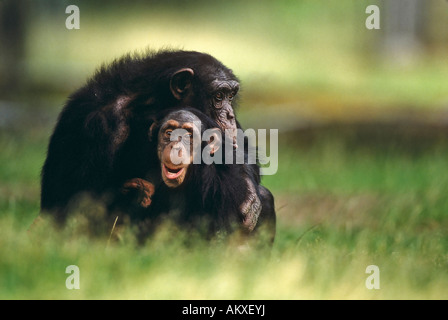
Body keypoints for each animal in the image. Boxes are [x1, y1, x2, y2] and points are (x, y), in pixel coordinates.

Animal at [39, 49, 262, 230]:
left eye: (230, 96)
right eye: (218, 96)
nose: (229, 115)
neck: (154, 104)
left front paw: (250, 195)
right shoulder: (99, 125)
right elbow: (80, 202)